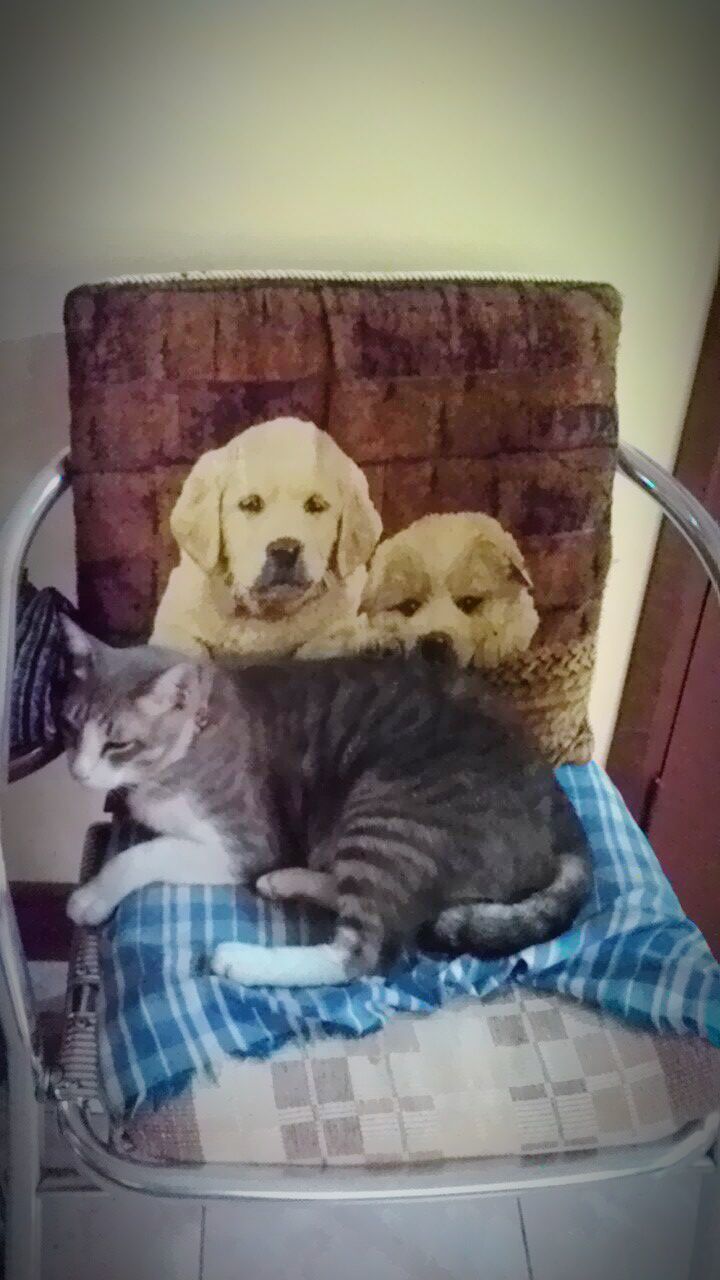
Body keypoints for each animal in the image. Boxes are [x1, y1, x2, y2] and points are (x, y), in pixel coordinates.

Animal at [60, 619, 589, 988]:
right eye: (70, 726)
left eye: (117, 744)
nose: (78, 772)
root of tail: (562, 811)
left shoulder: (244, 845)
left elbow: (142, 854)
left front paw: (92, 896)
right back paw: (287, 880)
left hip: (387, 813)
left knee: (366, 950)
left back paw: (243, 959)